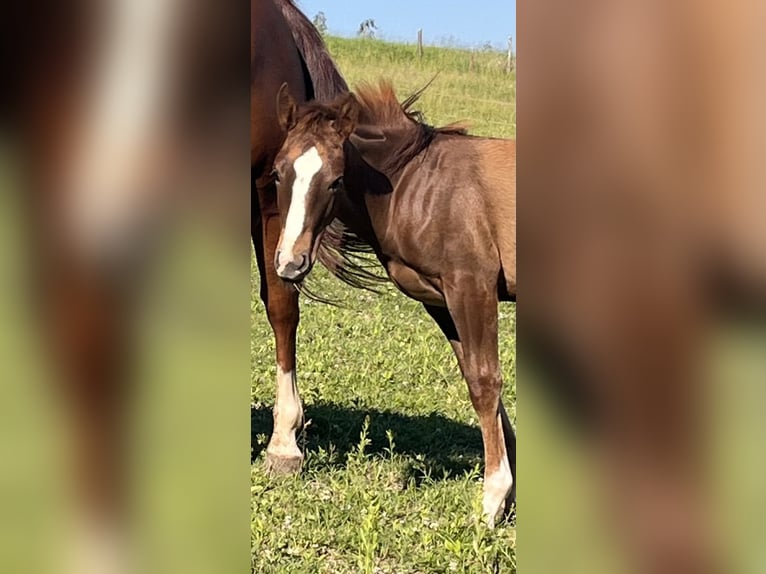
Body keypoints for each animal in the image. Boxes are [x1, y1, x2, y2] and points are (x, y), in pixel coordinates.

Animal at [270, 81, 517, 526]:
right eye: (279, 172)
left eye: (335, 181)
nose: (290, 263)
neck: (417, 182)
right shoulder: (441, 300)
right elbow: (476, 379)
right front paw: (510, 494)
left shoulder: (472, 286)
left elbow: (485, 383)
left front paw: (493, 498)